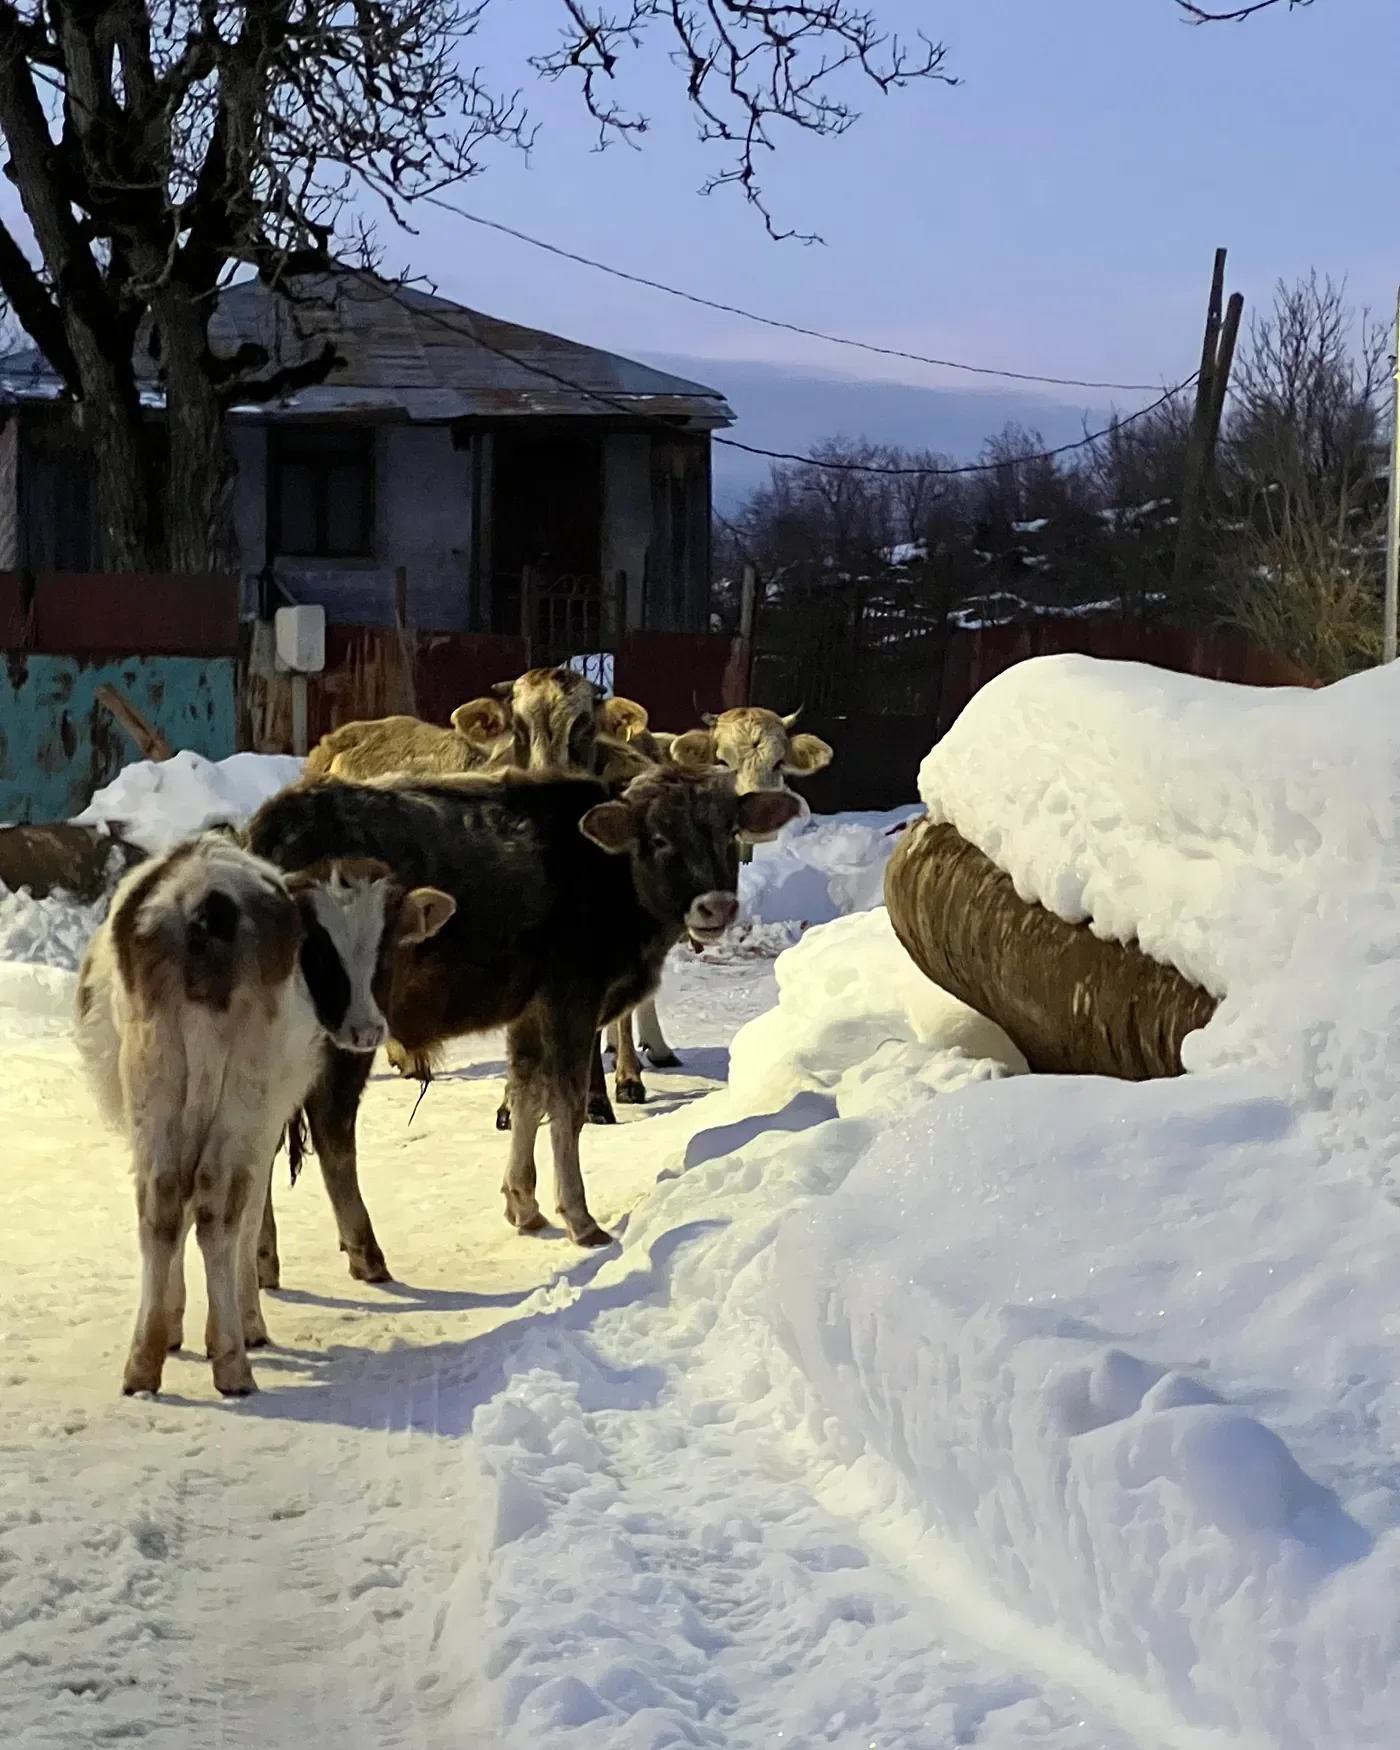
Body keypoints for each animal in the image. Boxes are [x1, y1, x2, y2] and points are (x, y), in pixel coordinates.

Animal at [74, 834, 455, 1395]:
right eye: (321, 951)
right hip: (242, 1101)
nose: (365, 1030)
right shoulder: (266, 1121)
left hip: (154, 1085)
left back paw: (143, 1362)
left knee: (162, 1206)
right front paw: (246, 1322)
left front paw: (172, 1325)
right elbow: (251, 1217)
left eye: (386, 947)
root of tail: (200, 902)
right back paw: (232, 1359)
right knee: (218, 1209)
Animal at [245, 765, 802, 1281]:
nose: (717, 906)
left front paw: (523, 1202)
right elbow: (567, 1106)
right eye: (660, 837)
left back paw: (262, 1258)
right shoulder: (571, 1001)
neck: (607, 876)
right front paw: (578, 1216)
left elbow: (526, 1094)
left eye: (729, 831)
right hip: (347, 1031)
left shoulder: (530, 1010)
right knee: (332, 1128)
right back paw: (363, 1250)